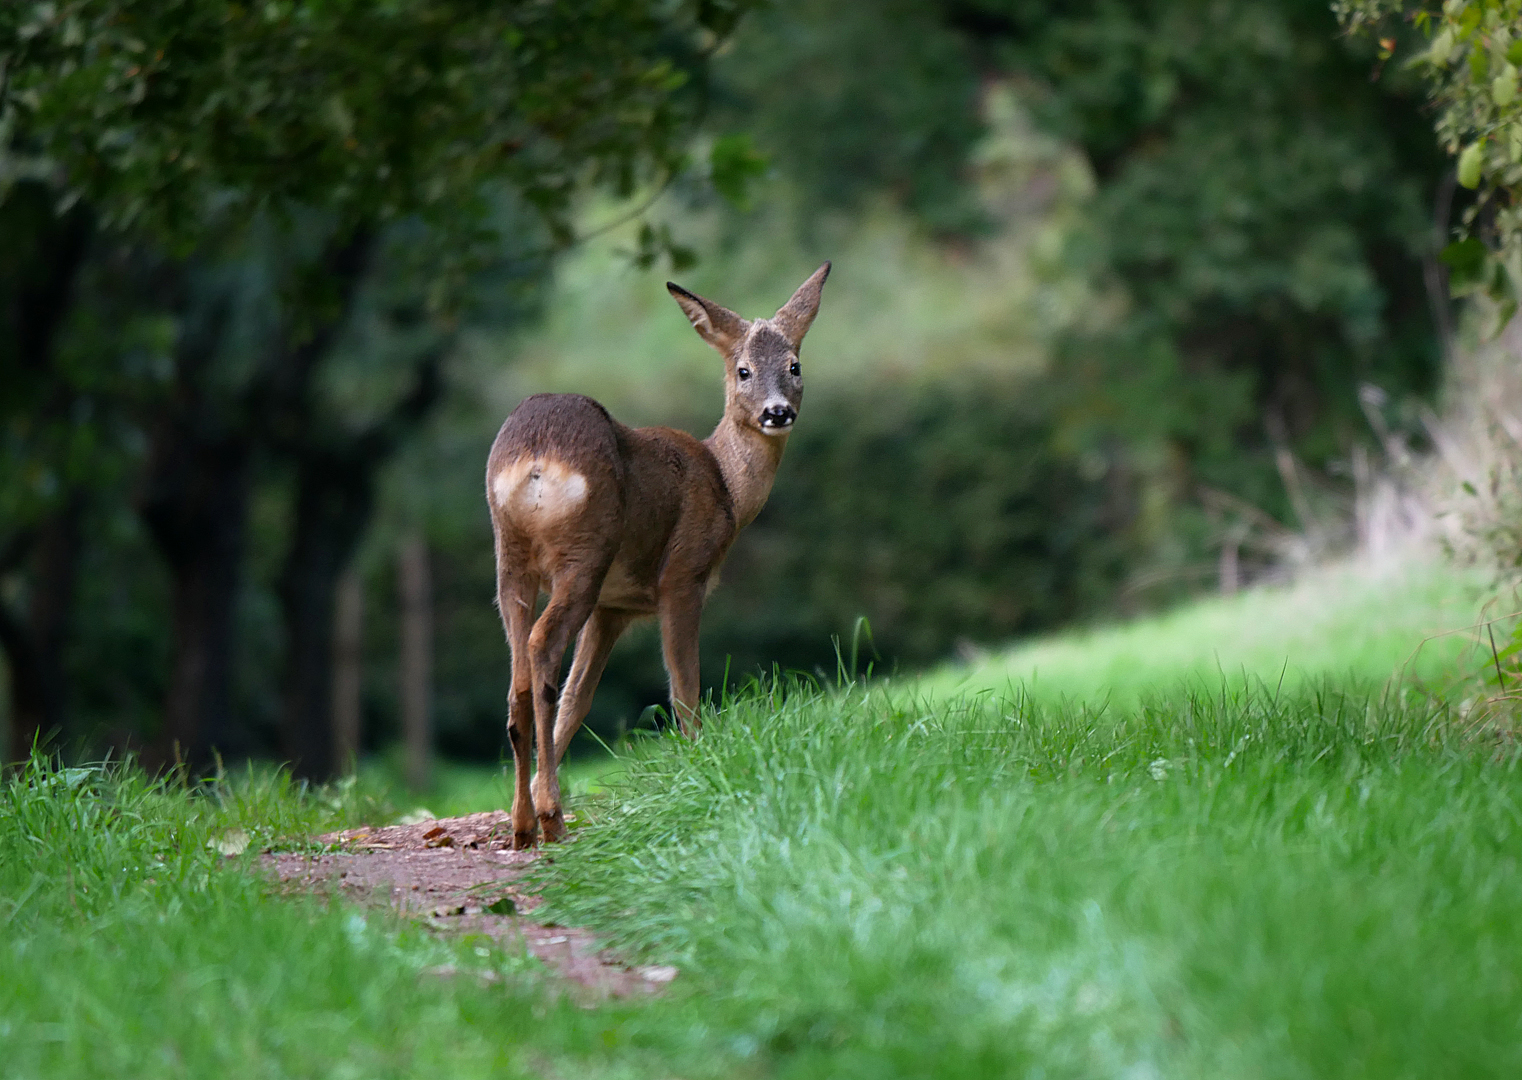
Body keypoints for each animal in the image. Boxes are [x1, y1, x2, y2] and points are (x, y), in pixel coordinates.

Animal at [487, 260, 834, 845]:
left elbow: (578, 699)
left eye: (794, 365)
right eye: (743, 370)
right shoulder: (683, 575)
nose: (777, 412)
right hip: (585, 551)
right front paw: (701, 766)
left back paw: (523, 823)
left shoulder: (614, 607)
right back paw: (552, 818)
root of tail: (535, 456)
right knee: (540, 647)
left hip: (510, 558)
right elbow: (685, 688)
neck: (725, 485)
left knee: (519, 682)